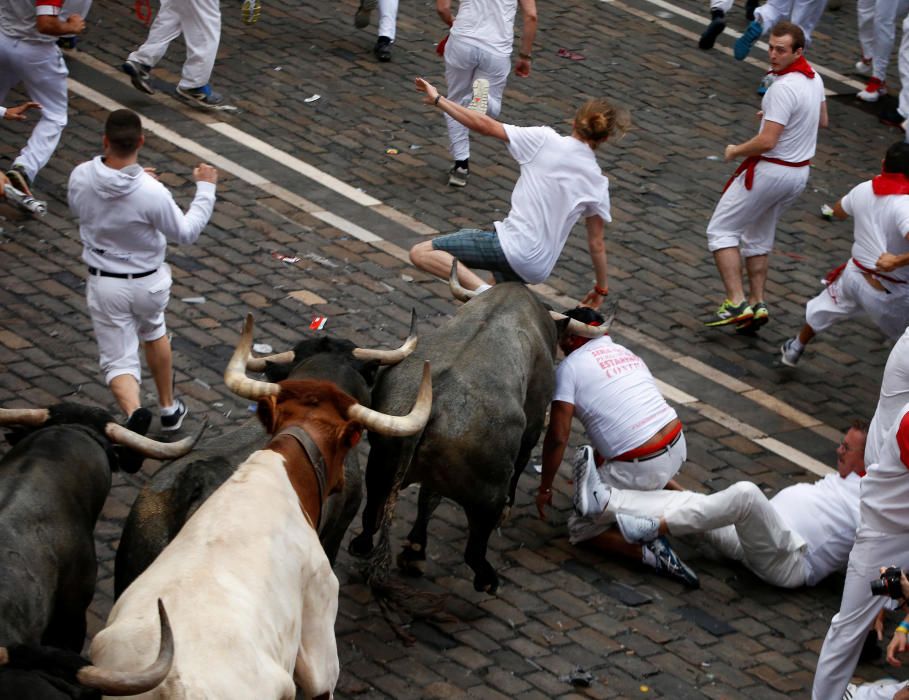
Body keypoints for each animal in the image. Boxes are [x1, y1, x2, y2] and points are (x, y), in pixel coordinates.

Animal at [352, 266, 608, 592]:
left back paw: (394, 550)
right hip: (488, 492)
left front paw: (414, 549)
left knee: (374, 512)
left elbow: (427, 499)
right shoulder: (533, 423)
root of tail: (435, 402)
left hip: (382, 460)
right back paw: (486, 578)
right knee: (475, 547)